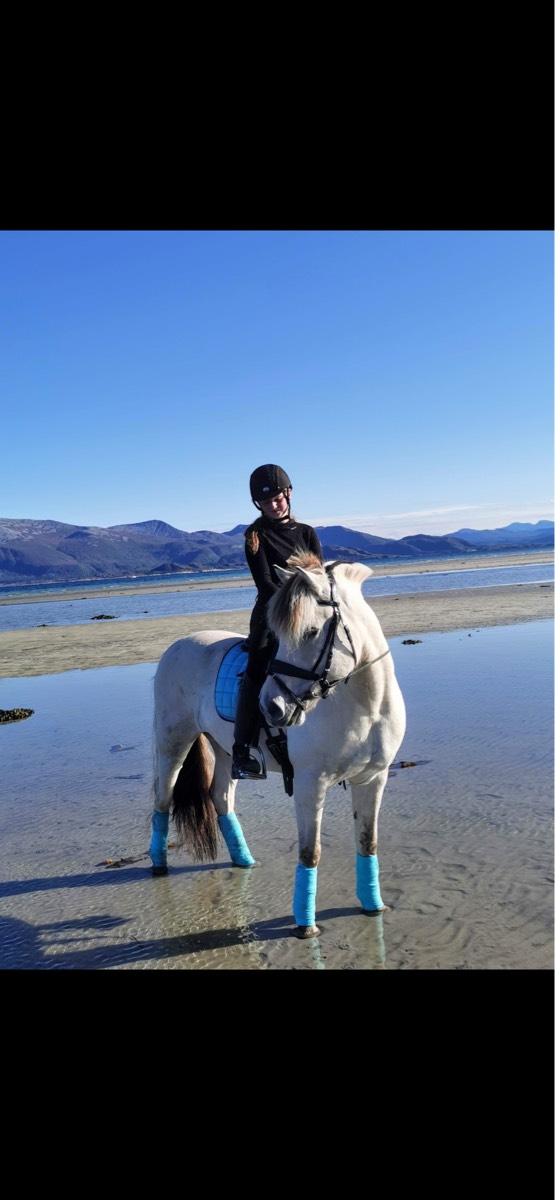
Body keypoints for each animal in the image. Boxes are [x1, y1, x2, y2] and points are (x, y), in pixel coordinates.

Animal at [149, 553, 406, 938]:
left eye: (311, 632)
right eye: (280, 636)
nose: (271, 707)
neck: (364, 706)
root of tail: (179, 644)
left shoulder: (373, 779)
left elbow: (367, 841)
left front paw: (373, 906)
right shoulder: (310, 783)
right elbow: (309, 852)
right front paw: (305, 925)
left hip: (226, 750)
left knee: (220, 797)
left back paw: (243, 859)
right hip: (173, 743)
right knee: (163, 800)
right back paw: (159, 865)